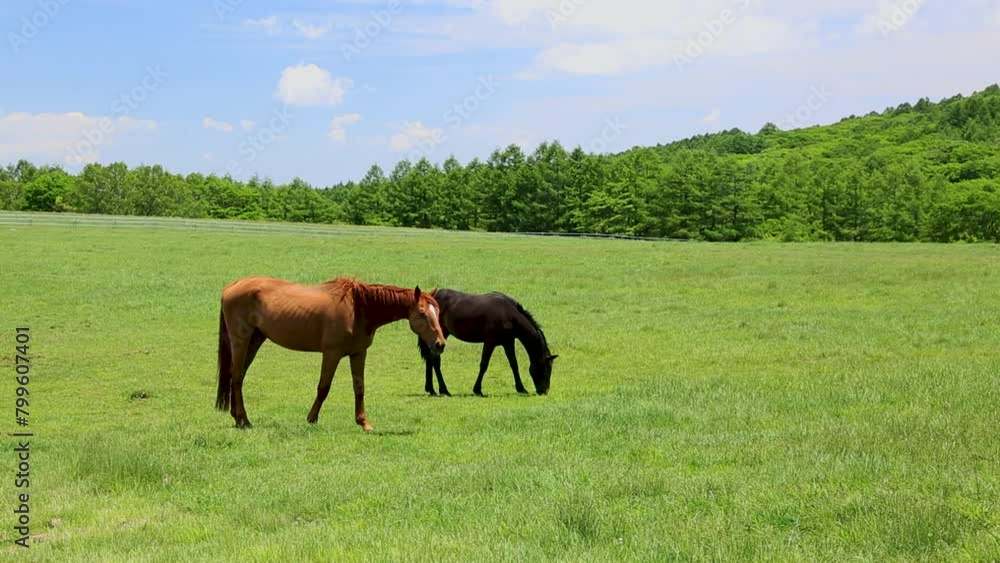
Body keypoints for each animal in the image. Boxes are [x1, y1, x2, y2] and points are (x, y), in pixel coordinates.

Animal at [216, 276, 446, 431]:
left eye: (438, 312)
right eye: (422, 313)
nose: (440, 344)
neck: (358, 307)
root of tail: (232, 286)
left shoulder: (359, 353)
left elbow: (359, 388)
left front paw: (364, 422)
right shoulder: (331, 354)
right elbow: (323, 387)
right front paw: (312, 418)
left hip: (255, 340)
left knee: (237, 376)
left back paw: (237, 418)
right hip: (241, 341)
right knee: (237, 377)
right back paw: (244, 421)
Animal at [417, 289, 557, 397]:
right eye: (547, 368)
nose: (544, 391)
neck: (508, 314)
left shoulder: (508, 342)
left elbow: (514, 364)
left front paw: (521, 388)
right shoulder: (490, 342)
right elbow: (484, 364)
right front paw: (477, 390)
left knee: (430, 359)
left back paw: (431, 389)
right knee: (435, 360)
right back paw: (444, 390)